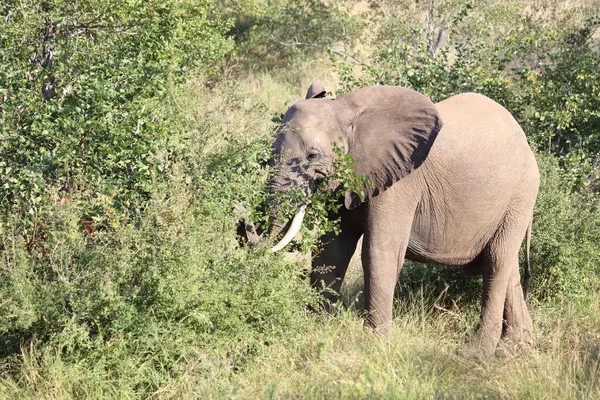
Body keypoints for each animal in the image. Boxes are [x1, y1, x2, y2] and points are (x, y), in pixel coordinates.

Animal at [268, 82, 540, 356]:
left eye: (313, 156)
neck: (347, 111)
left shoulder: (400, 181)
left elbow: (379, 251)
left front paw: (375, 348)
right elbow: (332, 249)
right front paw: (316, 330)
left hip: (521, 195)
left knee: (496, 261)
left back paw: (477, 353)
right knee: (507, 266)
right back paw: (516, 347)